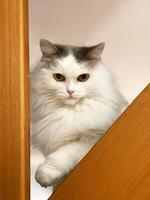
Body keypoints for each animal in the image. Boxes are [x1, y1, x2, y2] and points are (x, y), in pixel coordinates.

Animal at [30, 39, 127, 189]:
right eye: (59, 77)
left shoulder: (91, 139)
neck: (70, 113)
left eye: (83, 77)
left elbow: (62, 154)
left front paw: (45, 175)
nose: (70, 91)